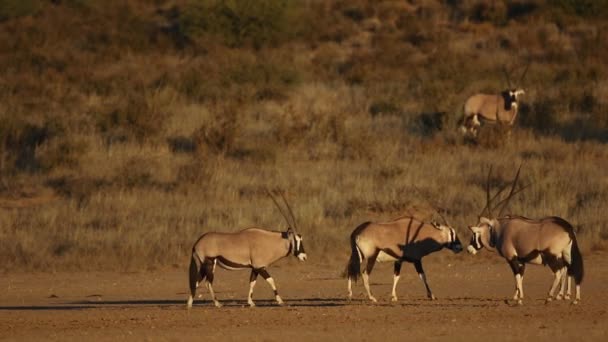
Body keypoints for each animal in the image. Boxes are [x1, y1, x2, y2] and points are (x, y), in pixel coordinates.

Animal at [466, 166, 584, 304]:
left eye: (475, 233)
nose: (469, 249)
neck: (500, 229)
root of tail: (568, 228)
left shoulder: (511, 258)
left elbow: (517, 275)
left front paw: (519, 299)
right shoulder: (521, 260)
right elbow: (521, 276)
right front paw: (516, 296)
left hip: (552, 256)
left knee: (560, 272)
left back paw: (551, 296)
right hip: (566, 254)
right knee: (571, 269)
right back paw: (573, 297)